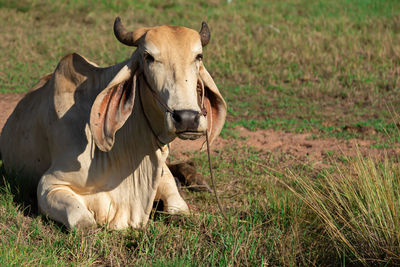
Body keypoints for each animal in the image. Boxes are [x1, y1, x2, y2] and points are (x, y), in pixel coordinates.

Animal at [0, 17, 225, 230]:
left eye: (199, 56)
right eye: (148, 56)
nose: (187, 117)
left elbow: (179, 208)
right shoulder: (50, 184)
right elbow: (83, 221)